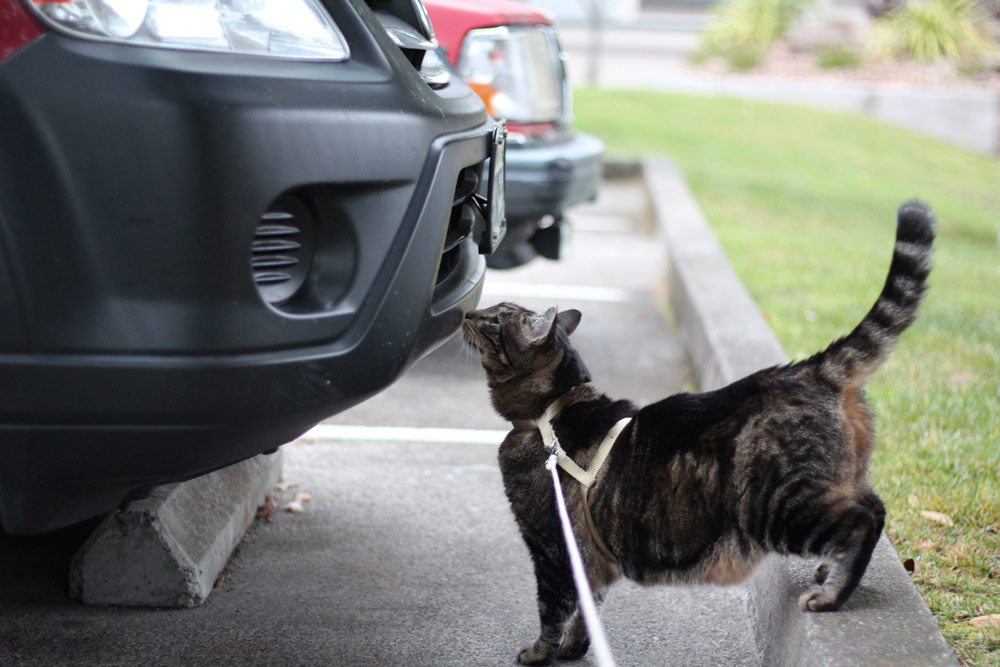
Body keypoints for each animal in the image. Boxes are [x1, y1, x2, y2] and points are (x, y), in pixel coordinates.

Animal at [462, 200, 935, 665]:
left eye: (493, 320)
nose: (468, 312)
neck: (551, 415)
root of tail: (808, 368)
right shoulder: (587, 555)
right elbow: (587, 605)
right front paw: (574, 648)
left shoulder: (552, 548)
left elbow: (553, 608)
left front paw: (539, 652)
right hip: (835, 482)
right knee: (874, 507)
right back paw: (829, 570)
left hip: (777, 505)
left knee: (861, 521)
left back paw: (831, 594)